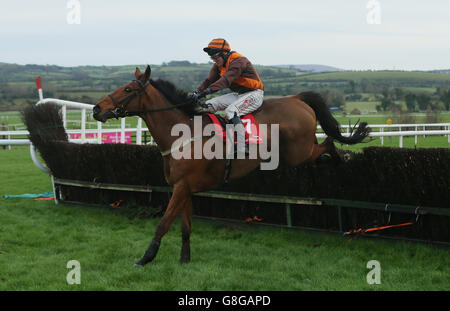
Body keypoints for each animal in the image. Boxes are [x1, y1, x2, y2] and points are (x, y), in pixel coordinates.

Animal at [92, 64, 370, 266]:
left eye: (128, 89)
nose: (96, 109)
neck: (182, 134)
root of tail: (297, 98)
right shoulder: (184, 187)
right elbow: (185, 225)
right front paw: (184, 258)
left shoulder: (181, 187)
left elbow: (163, 223)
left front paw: (145, 258)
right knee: (324, 146)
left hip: (298, 152)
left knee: (329, 143)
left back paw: (341, 159)